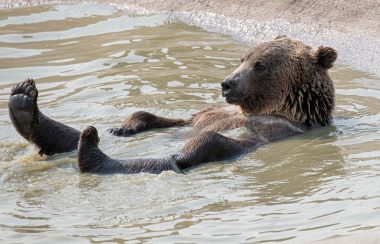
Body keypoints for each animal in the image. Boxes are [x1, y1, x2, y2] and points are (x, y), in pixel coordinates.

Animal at [8, 36, 336, 173]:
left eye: (260, 64)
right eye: (243, 58)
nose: (227, 83)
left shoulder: (274, 129)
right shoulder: (208, 111)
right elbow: (163, 117)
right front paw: (125, 127)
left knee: (189, 151)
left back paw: (91, 154)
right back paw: (23, 101)